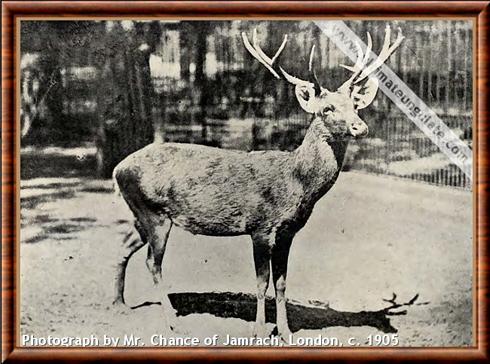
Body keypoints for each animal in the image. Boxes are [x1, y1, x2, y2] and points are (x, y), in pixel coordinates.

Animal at [111, 24, 402, 342]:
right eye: (327, 109)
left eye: (355, 105)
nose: (360, 126)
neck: (297, 185)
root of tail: (117, 169)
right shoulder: (260, 226)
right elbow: (262, 283)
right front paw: (259, 331)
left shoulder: (288, 232)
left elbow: (282, 284)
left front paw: (286, 332)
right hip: (154, 213)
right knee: (153, 262)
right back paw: (172, 321)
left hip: (140, 213)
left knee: (124, 245)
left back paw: (119, 303)